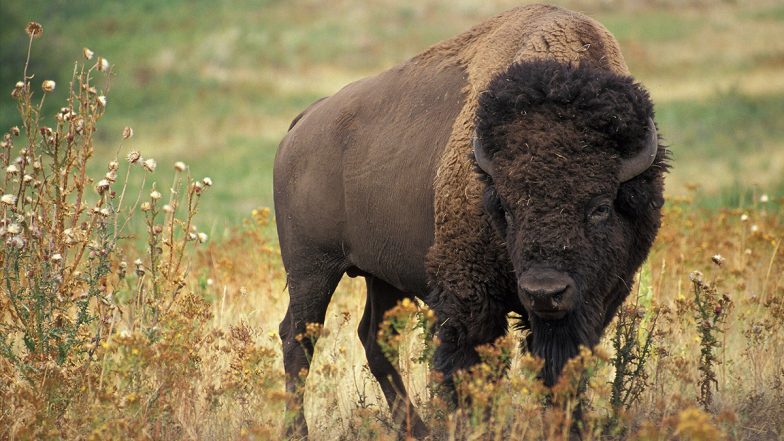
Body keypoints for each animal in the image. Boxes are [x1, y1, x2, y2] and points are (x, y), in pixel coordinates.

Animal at [273, 4, 667, 438]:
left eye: (600, 206)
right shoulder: (469, 297)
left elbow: (562, 368)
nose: (544, 292)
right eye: (506, 208)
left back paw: (417, 428)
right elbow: (468, 368)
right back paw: (298, 430)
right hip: (312, 269)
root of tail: (304, 122)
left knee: (373, 338)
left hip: (381, 275)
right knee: (298, 337)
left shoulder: (596, 300)